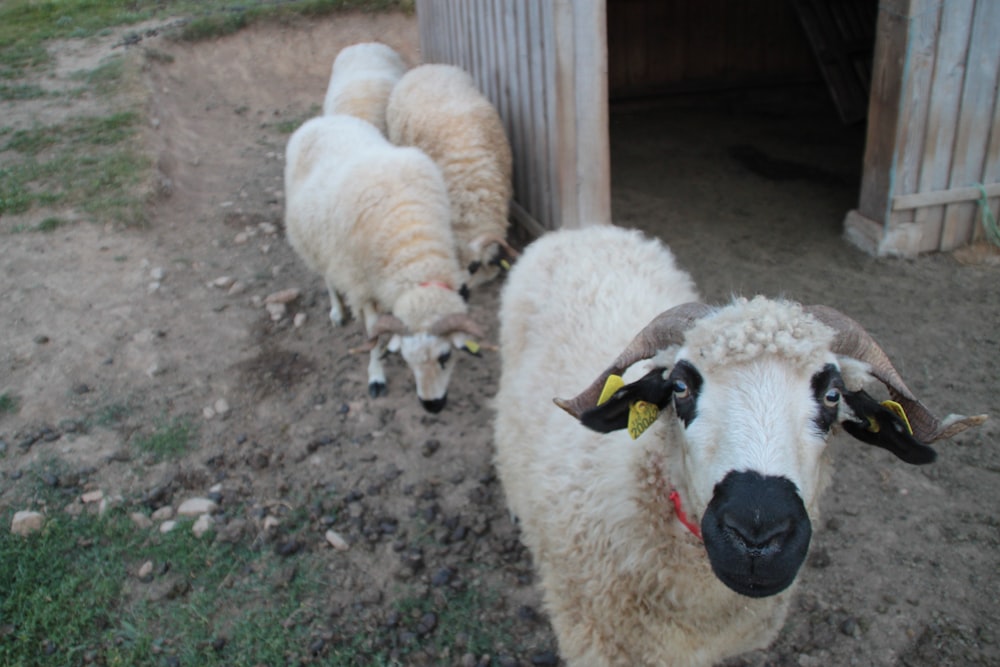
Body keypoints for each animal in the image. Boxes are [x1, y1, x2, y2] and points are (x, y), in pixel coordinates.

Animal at [284, 115, 486, 414]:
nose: (432, 406)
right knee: (328, 277)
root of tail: (323, 119)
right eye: (406, 360)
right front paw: (376, 374)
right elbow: (374, 334)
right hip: (315, 242)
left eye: (445, 356)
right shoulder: (362, 286)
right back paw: (337, 311)